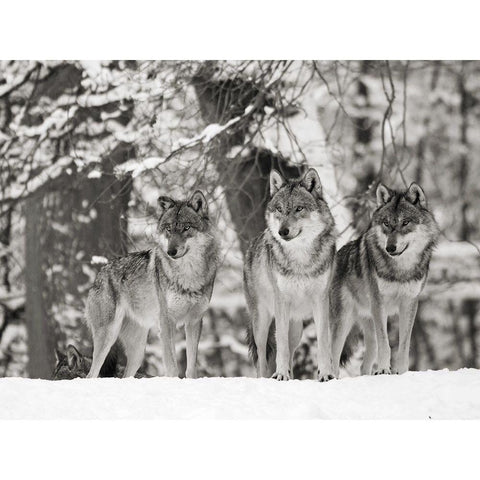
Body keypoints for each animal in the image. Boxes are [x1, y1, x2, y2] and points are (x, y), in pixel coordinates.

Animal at [86, 190, 219, 378]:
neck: (188, 275)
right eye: (169, 229)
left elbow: (191, 367)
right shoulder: (166, 322)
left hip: (138, 351)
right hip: (107, 337)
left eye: (186, 228)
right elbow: (172, 367)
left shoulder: (195, 321)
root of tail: (100, 273)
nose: (171, 251)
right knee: (91, 374)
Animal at [244, 169, 338, 382]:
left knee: (291, 350)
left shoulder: (321, 300)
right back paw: (266, 377)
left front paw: (325, 374)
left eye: (298, 209)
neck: (300, 259)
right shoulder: (281, 301)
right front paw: (279, 374)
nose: (282, 231)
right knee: (262, 356)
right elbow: (280, 346)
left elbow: (323, 342)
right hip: (261, 323)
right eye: (279, 209)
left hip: (296, 329)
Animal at [330, 182, 438, 376]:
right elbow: (385, 343)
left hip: (368, 326)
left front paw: (401, 372)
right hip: (343, 321)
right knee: (333, 357)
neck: (400, 270)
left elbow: (404, 345)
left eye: (405, 222)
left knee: (364, 364)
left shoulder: (410, 303)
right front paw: (383, 370)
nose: (390, 248)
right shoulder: (379, 303)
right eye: (386, 223)